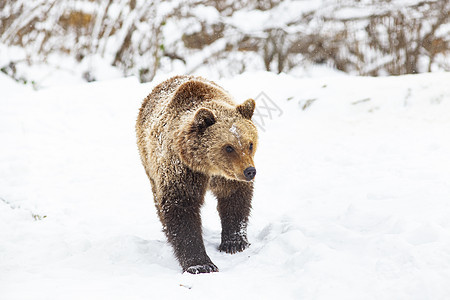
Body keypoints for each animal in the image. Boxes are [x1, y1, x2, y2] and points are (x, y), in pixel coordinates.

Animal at [135, 75, 258, 274]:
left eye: (250, 144)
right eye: (228, 147)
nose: (250, 171)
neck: (208, 167)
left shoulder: (227, 177)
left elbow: (235, 199)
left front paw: (235, 242)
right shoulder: (182, 171)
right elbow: (182, 210)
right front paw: (201, 264)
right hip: (148, 162)